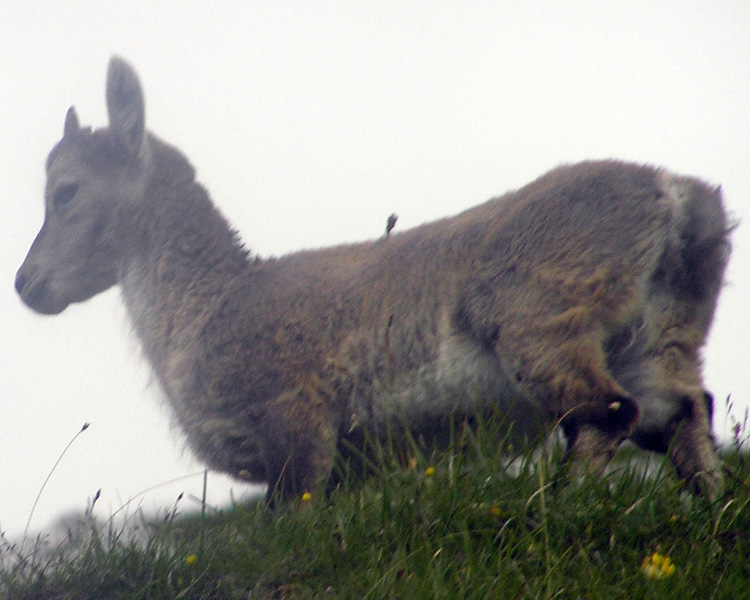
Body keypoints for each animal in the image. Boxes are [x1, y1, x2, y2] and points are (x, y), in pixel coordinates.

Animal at [16, 59, 736, 502]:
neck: (205, 309)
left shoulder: (298, 426)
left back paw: (555, 507)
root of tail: (673, 197)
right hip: (660, 337)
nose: (27, 282)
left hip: (542, 325)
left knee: (608, 411)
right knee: (684, 413)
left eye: (66, 191)